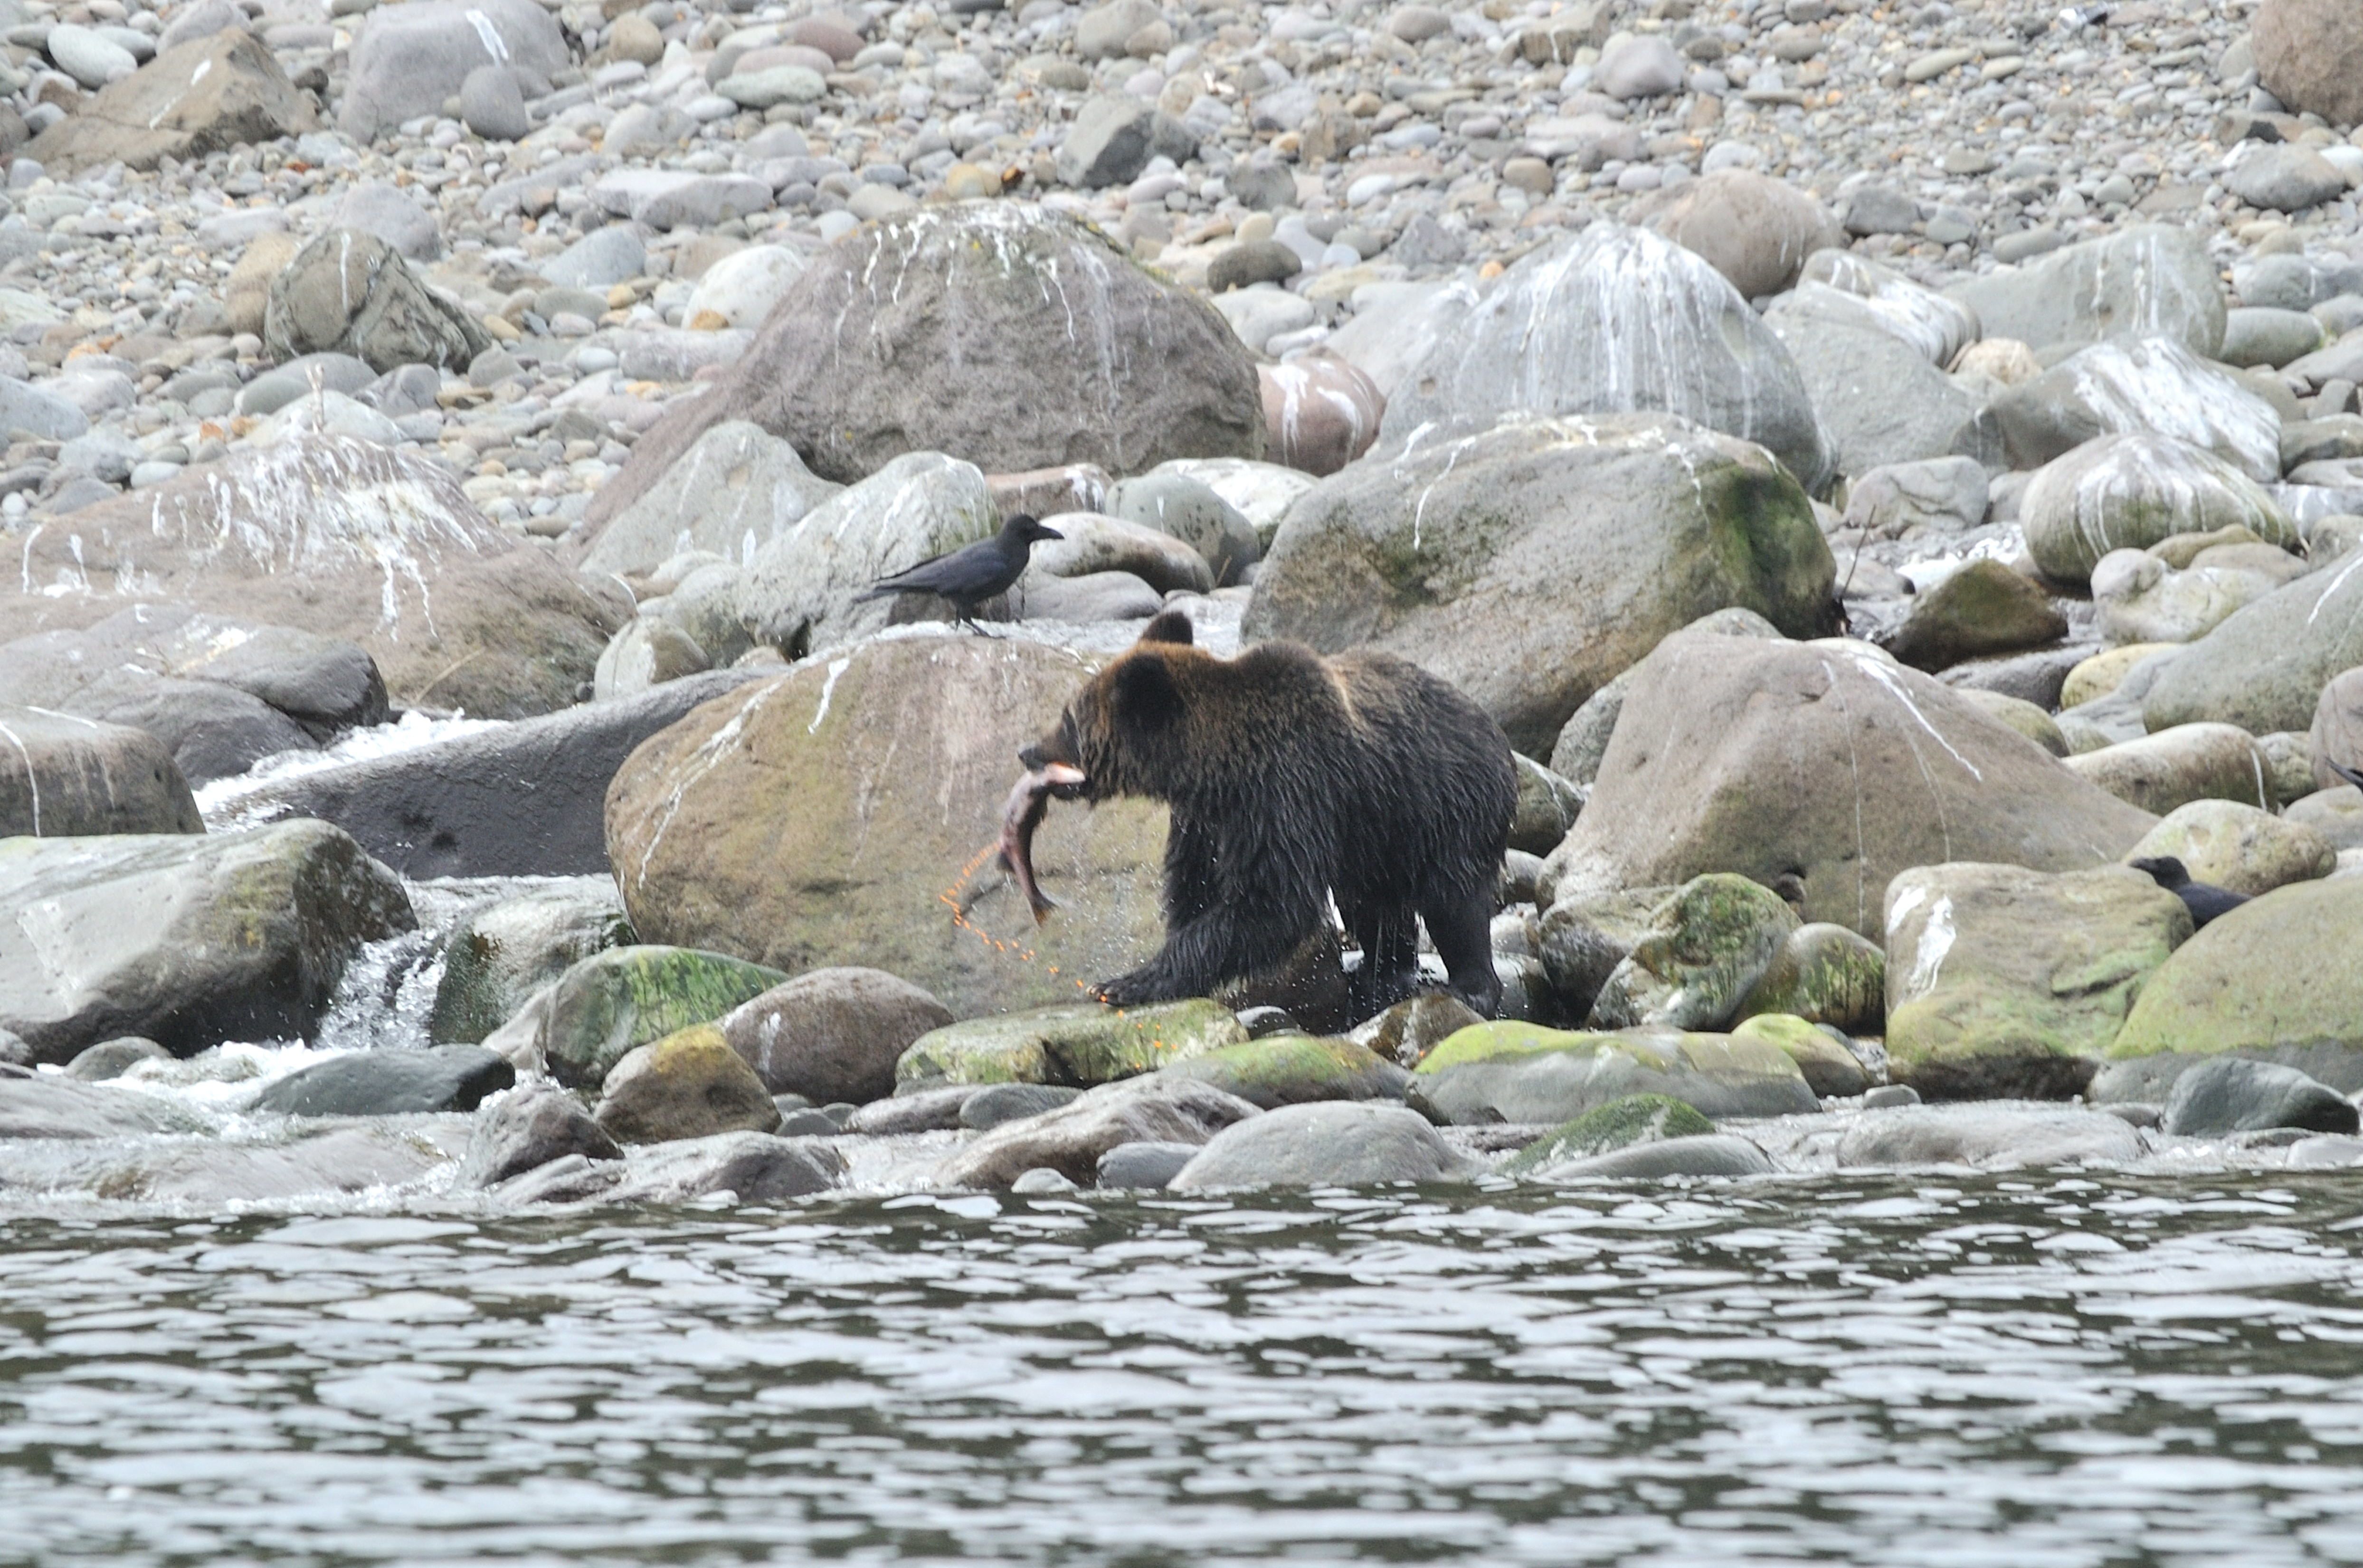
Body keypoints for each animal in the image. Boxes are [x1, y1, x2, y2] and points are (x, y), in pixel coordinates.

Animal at [1016, 600, 1512, 1015]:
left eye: (1068, 720)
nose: (1027, 752)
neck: (1217, 769)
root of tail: (1491, 726)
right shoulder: (1205, 822)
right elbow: (1194, 888)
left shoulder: (1287, 793)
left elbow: (1272, 903)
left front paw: (1124, 983)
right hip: (1378, 834)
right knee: (1371, 904)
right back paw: (1382, 972)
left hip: (1447, 808)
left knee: (1455, 900)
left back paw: (1469, 987)